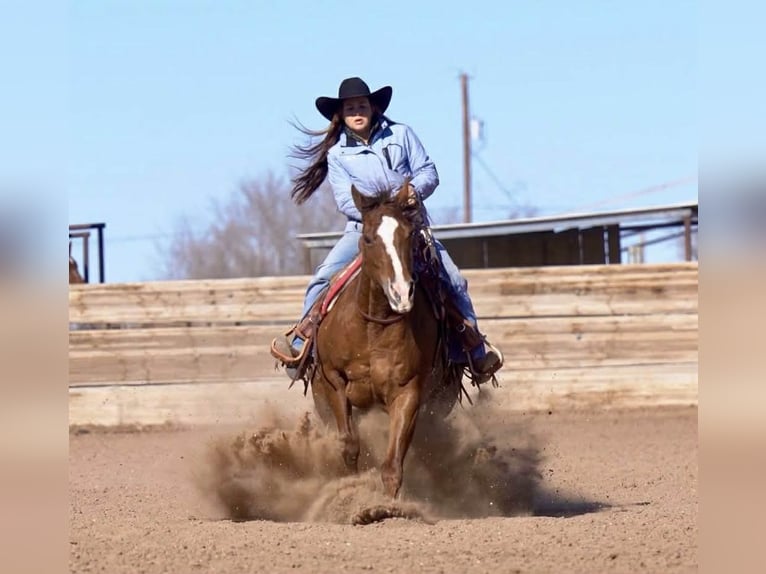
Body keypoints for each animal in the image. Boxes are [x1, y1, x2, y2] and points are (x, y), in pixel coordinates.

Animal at [309, 181, 464, 499]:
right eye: (368, 238)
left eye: (408, 234)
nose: (401, 293)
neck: (372, 328)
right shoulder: (333, 380)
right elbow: (349, 446)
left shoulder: (408, 392)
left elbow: (392, 465)